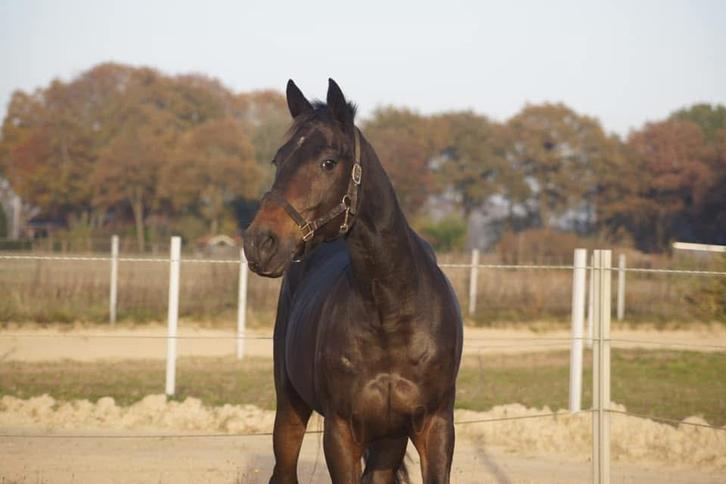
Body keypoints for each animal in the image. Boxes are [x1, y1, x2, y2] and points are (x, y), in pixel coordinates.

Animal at [243, 79, 463, 484]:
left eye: (328, 162)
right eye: (278, 160)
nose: (260, 242)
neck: (391, 309)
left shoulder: (435, 426)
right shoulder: (342, 431)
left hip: (389, 440)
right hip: (291, 407)